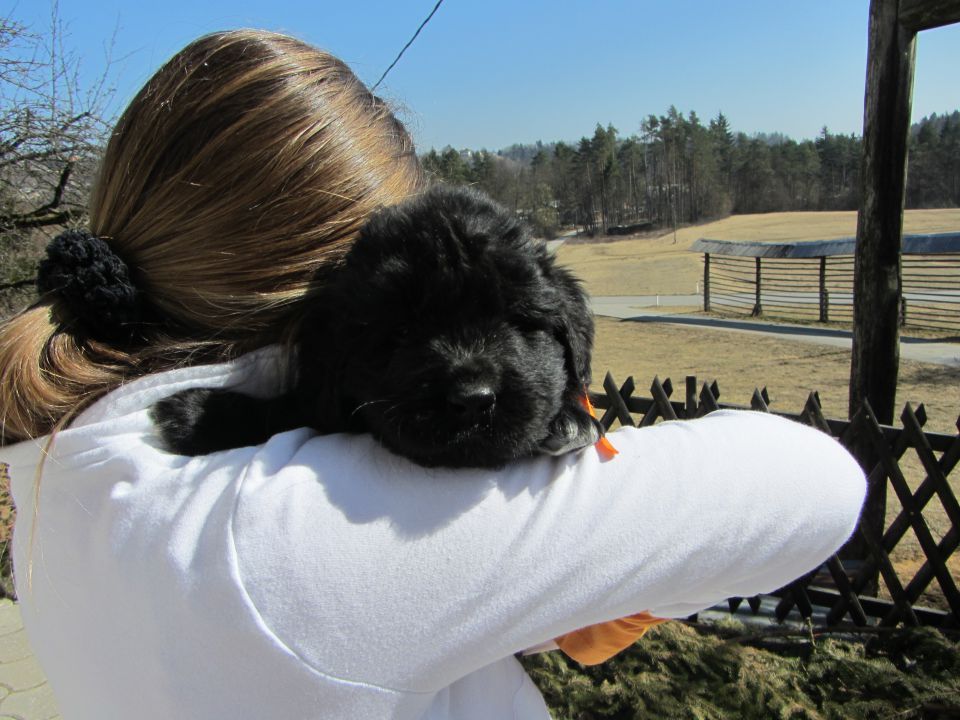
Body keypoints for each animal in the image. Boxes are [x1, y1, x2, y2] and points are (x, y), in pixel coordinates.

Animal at [150, 186, 600, 466]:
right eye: (401, 332)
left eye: (516, 319)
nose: (473, 399)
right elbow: (286, 410)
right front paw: (195, 414)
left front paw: (572, 417)